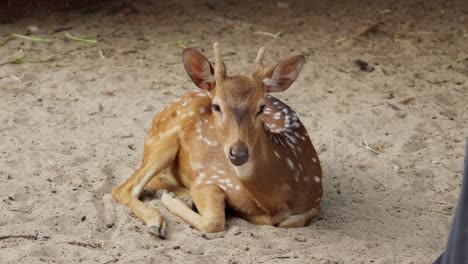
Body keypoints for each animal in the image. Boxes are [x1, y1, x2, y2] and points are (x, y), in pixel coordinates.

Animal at [113, 42, 324, 237]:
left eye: (261, 107)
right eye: (216, 106)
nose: (238, 153)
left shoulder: (315, 201)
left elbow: (292, 220)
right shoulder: (209, 178)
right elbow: (213, 222)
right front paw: (170, 199)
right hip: (165, 142)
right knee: (124, 189)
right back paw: (157, 219)